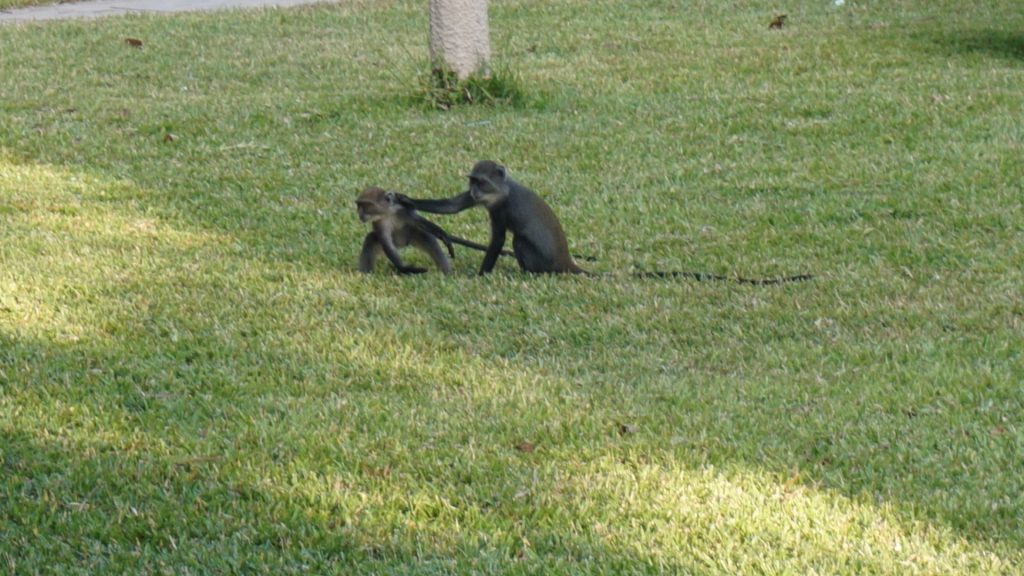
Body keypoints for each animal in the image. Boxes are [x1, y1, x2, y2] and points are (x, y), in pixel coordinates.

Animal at [358, 184, 516, 272]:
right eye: (359, 205)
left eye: (366, 205)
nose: (359, 213)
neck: (388, 212)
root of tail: (403, 244)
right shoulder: (380, 223)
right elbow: (385, 241)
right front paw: (405, 269)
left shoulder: (402, 209)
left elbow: (419, 221)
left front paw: (443, 236)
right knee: (371, 240)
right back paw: (366, 274)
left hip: (413, 234)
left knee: (428, 239)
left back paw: (447, 272)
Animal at [403, 158, 811, 282]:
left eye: (482, 182)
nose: (474, 192)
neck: (500, 191)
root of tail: (567, 262)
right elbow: (451, 207)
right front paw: (406, 199)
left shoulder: (502, 208)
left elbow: (498, 240)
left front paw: (481, 274)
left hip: (537, 256)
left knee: (520, 243)